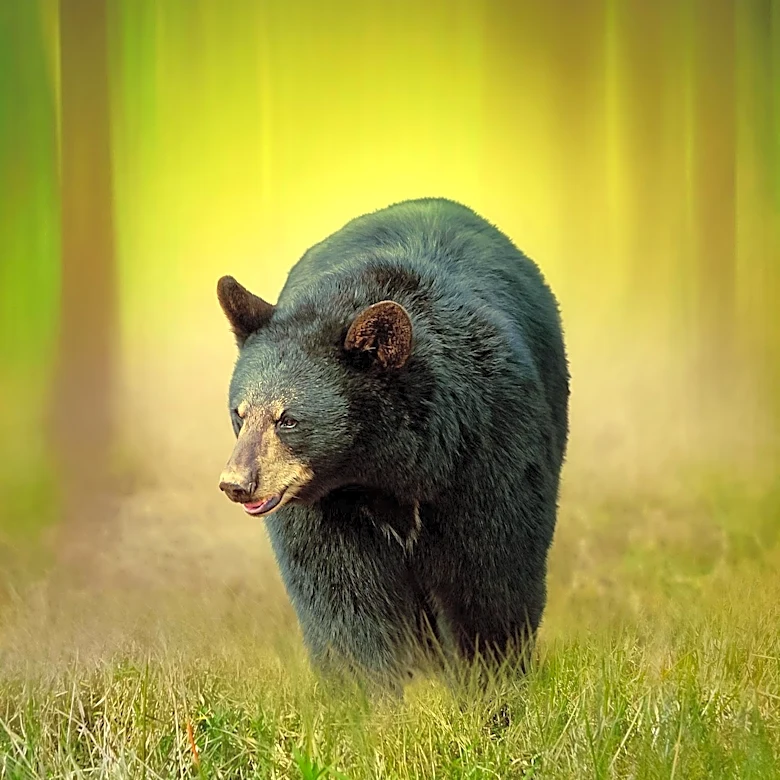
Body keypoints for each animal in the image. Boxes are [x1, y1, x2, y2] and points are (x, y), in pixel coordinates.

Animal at [216, 197, 569, 687]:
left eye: (288, 419)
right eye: (240, 412)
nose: (236, 483)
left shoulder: (488, 448)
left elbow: (490, 578)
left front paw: (493, 682)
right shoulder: (327, 507)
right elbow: (344, 597)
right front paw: (367, 692)